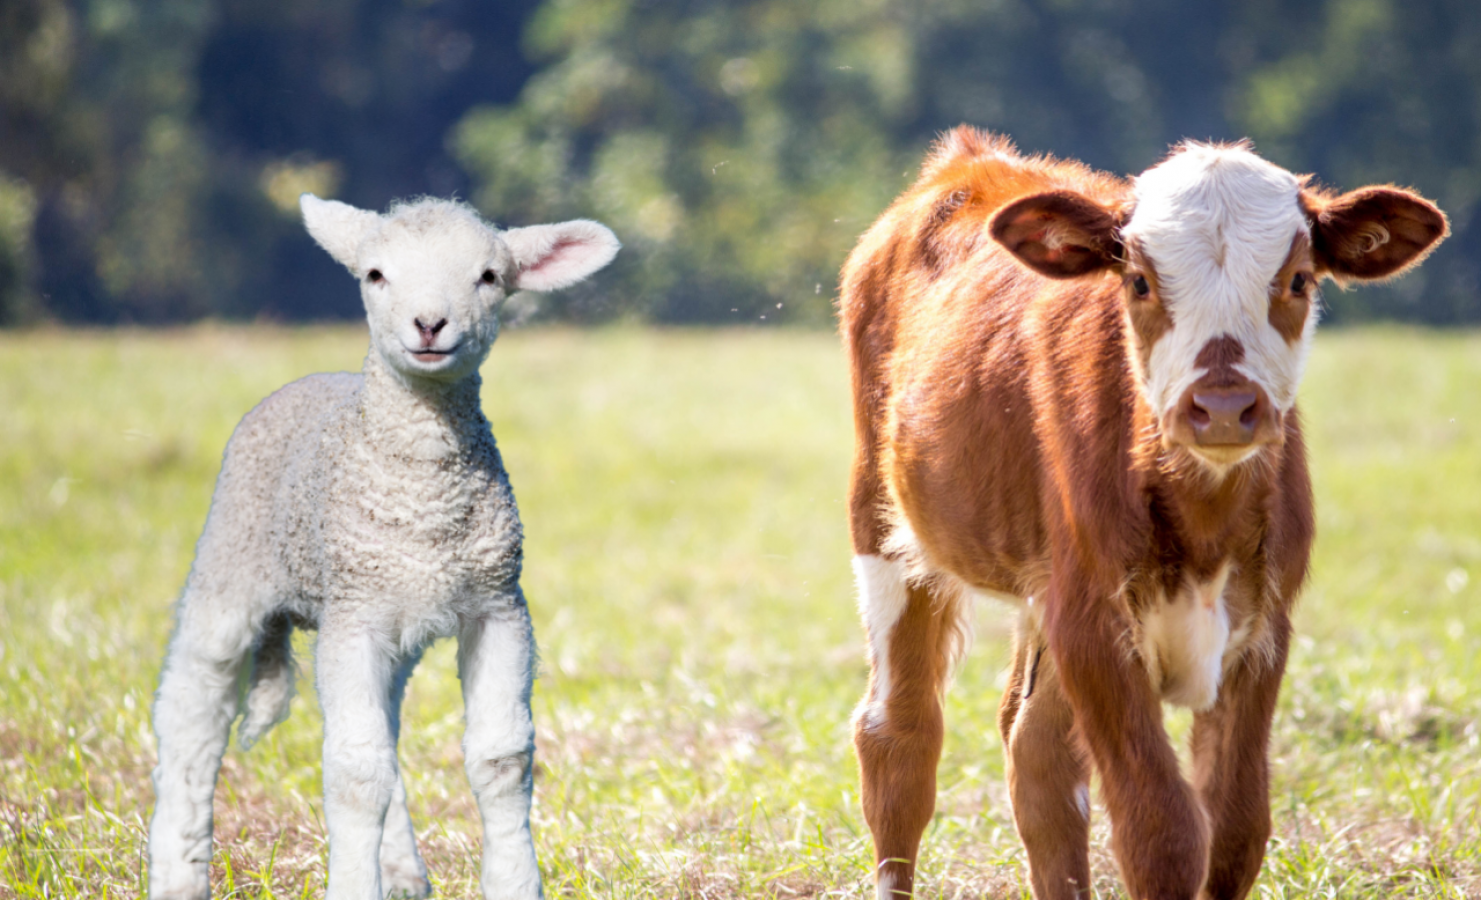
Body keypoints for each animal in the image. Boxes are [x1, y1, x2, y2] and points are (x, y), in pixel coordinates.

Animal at [145, 195, 619, 900]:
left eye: (489, 276)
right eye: (374, 274)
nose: (429, 323)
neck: (423, 496)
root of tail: (317, 376)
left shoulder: (498, 605)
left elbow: (501, 758)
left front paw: (513, 880)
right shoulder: (355, 614)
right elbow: (355, 773)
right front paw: (350, 884)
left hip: (392, 630)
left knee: (386, 731)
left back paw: (399, 872)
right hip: (230, 560)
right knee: (192, 711)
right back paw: (178, 873)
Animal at [847, 128, 1445, 900]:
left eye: (1297, 280)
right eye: (1137, 281)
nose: (1222, 406)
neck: (1204, 518)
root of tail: (974, 160)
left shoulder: (1263, 626)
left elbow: (1234, 826)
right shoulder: (1093, 625)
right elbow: (1160, 828)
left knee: (1035, 749)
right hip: (884, 521)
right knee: (899, 736)